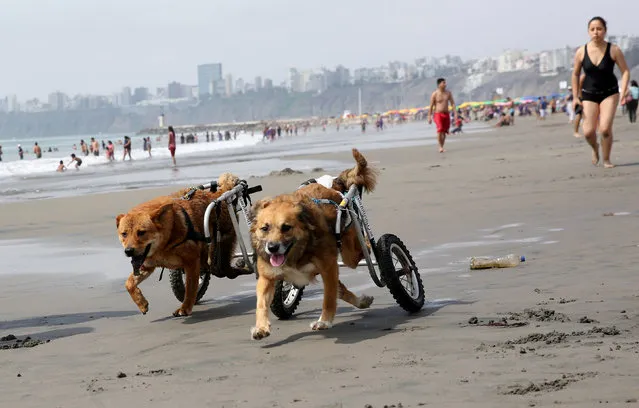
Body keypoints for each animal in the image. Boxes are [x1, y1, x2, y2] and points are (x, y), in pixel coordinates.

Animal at [115, 172, 240, 316]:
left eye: (141, 232)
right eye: (124, 234)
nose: (128, 251)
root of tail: (218, 194)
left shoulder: (191, 262)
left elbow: (190, 288)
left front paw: (185, 308)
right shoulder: (146, 266)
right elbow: (129, 284)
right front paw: (141, 303)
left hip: (222, 243)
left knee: (222, 265)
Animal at [250, 148, 380, 340]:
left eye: (286, 227)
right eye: (265, 228)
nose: (272, 248)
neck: (298, 252)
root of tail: (332, 187)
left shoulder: (329, 268)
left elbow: (329, 297)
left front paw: (324, 321)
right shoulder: (267, 276)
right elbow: (261, 304)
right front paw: (260, 327)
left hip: (349, 253)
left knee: (364, 250)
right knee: (341, 288)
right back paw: (362, 301)